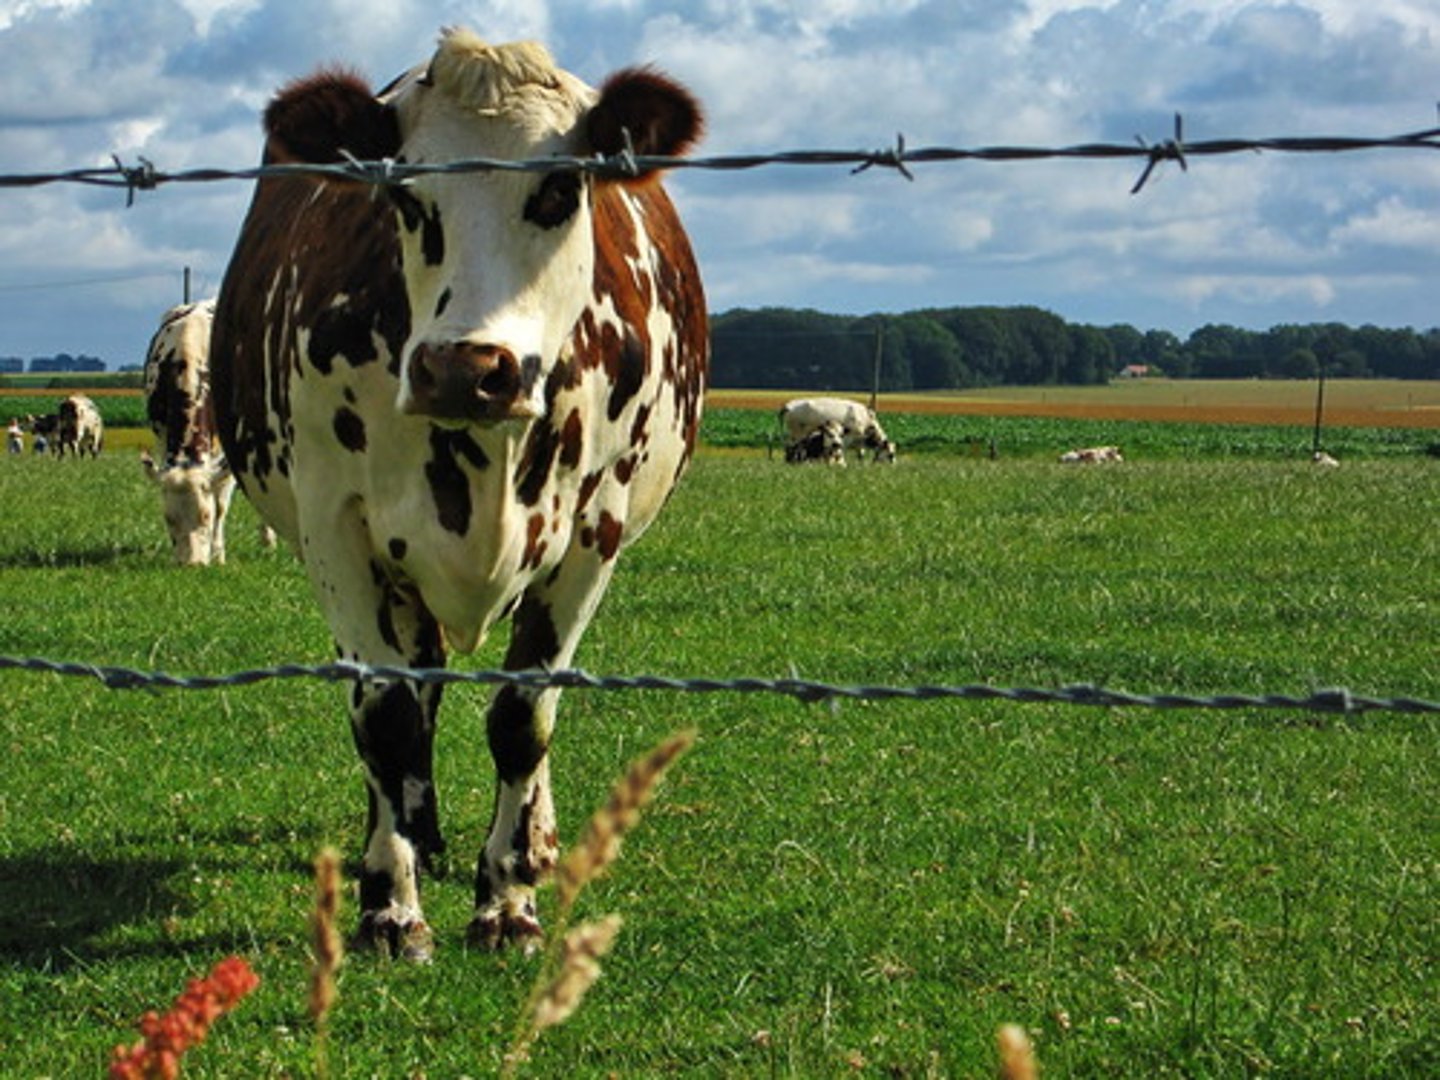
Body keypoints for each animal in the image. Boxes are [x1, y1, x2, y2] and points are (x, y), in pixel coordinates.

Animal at [140, 300, 239, 566]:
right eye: (168, 518)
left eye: (206, 515)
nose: (191, 565)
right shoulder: (162, 436)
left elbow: (222, 504)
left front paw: (218, 554)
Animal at [210, 29, 707, 960]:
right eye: (404, 194)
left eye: (560, 187)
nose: (464, 369)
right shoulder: (338, 531)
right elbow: (388, 715)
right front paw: (390, 904)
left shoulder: (593, 532)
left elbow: (524, 716)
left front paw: (508, 899)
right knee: (417, 688)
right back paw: (415, 830)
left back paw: (535, 841)